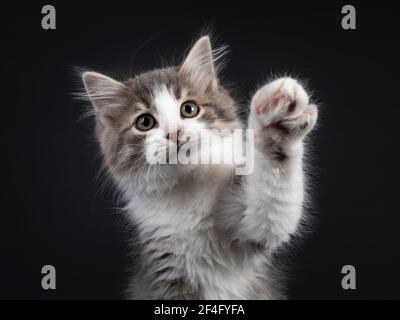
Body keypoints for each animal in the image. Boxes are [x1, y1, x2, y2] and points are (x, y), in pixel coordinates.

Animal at [81, 36, 318, 298]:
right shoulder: (166, 267)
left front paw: (277, 125)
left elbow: (273, 203)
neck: (188, 188)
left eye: (189, 109)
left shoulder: (252, 230)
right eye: (145, 122)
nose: (175, 133)